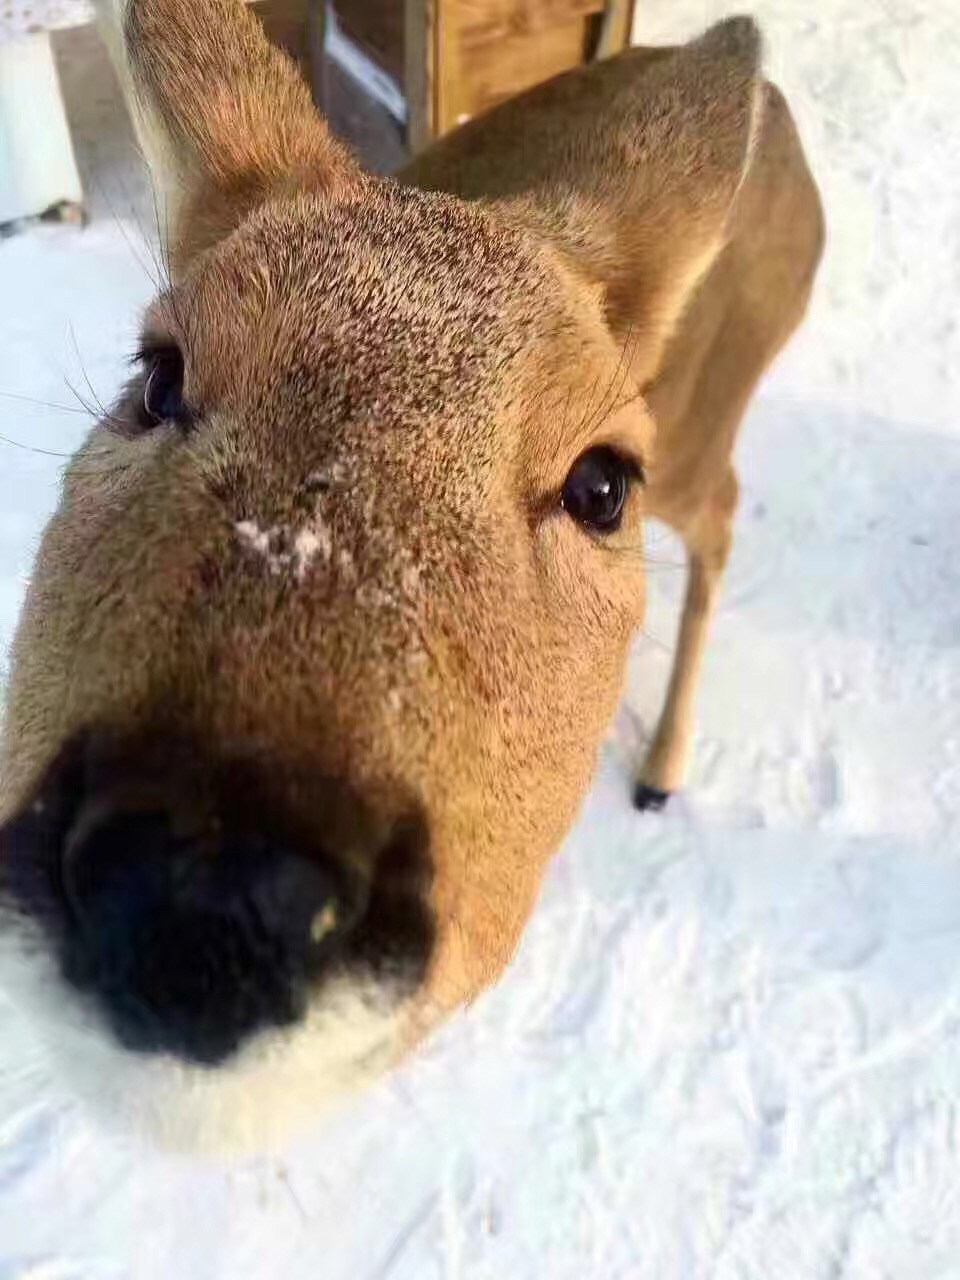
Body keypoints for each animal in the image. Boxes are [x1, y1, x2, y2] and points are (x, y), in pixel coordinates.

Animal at [0, 0, 829, 1152]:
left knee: (727, 516)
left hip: (714, 422)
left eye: (602, 482)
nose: (207, 895)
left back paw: (661, 768)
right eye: (157, 375)